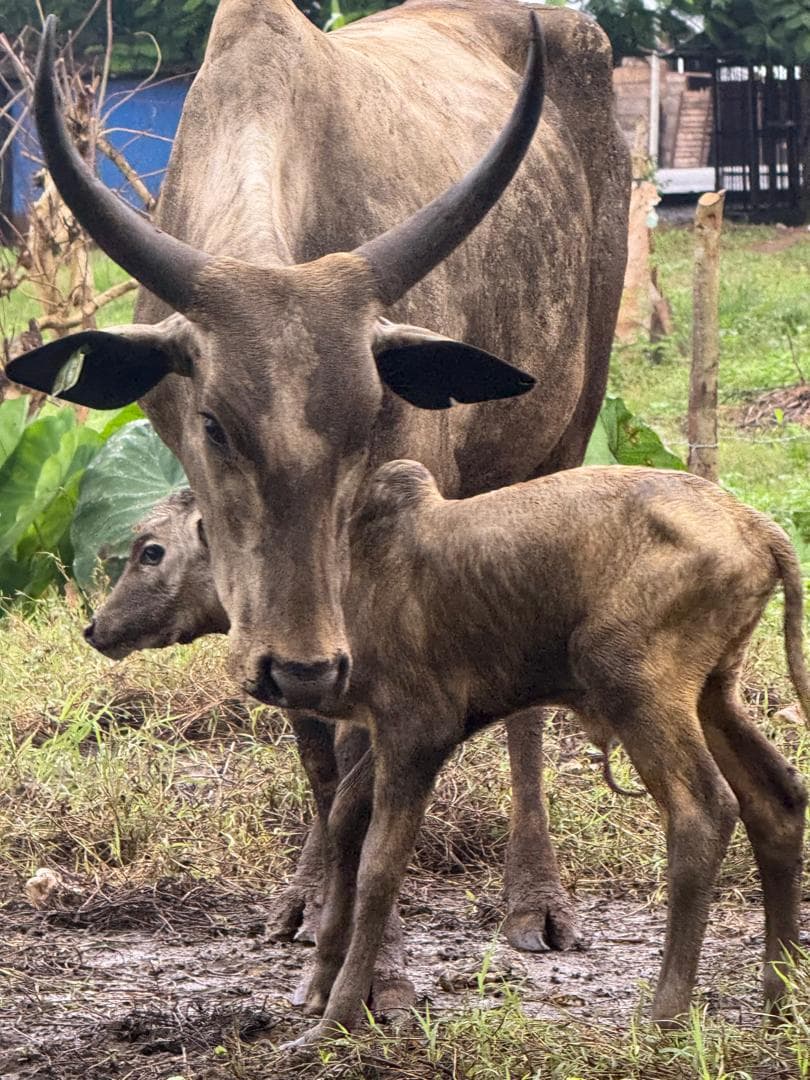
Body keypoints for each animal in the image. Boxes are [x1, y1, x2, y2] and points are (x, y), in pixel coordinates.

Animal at [7, 0, 630, 1009]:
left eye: (373, 413)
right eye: (213, 422)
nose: (305, 664)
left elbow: (369, 767)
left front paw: (378, 970)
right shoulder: (270, 607)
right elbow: (318, 754)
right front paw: (326, 924)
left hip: (565, 433)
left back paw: (534, 900)